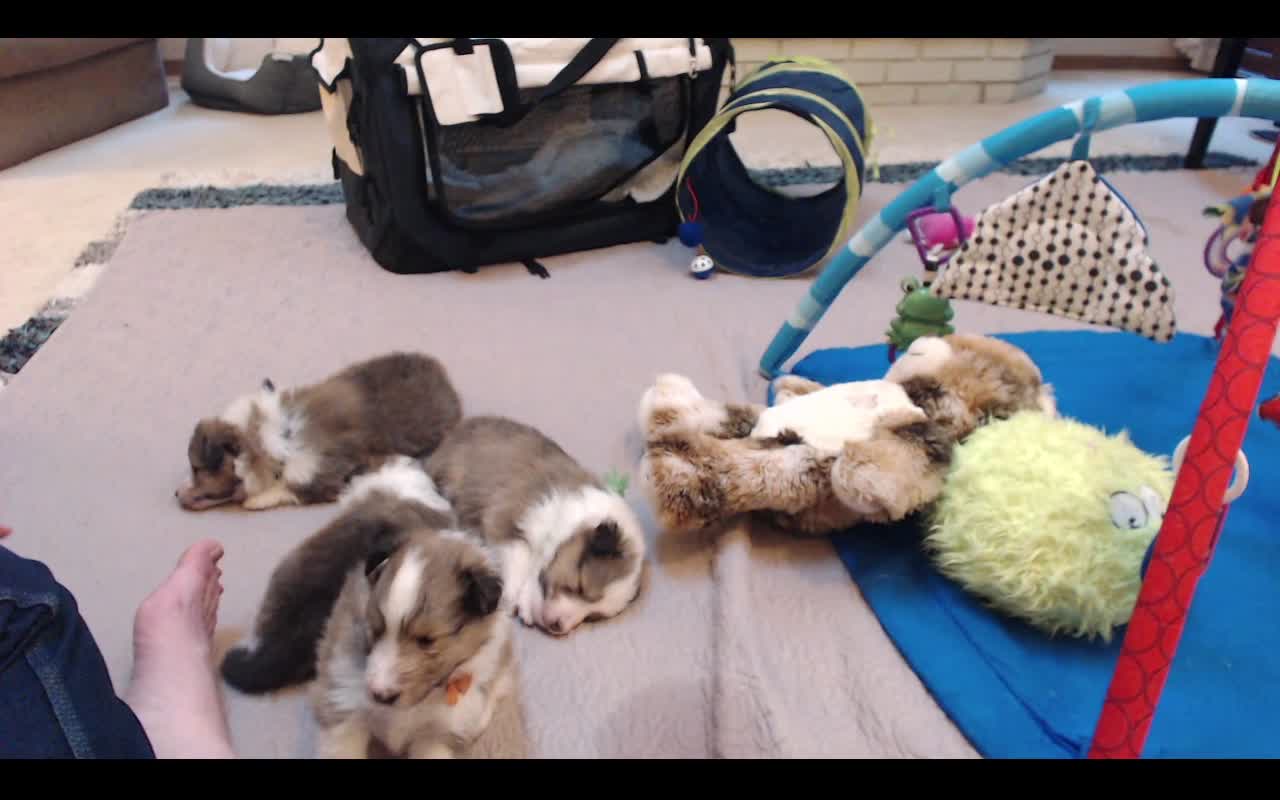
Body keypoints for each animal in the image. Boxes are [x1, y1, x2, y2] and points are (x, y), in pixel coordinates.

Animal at [176, 350, 460, 512]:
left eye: (196, 469)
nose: (176, 493)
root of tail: (444, 377)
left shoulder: (324, 473)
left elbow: (292, 489)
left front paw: (257, 499)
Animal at [427, 417, 650, 637]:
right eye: (580, 588)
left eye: (592, 617)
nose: (557, 627)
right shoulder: (506, 518)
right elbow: (519, 558)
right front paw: (511, 601)